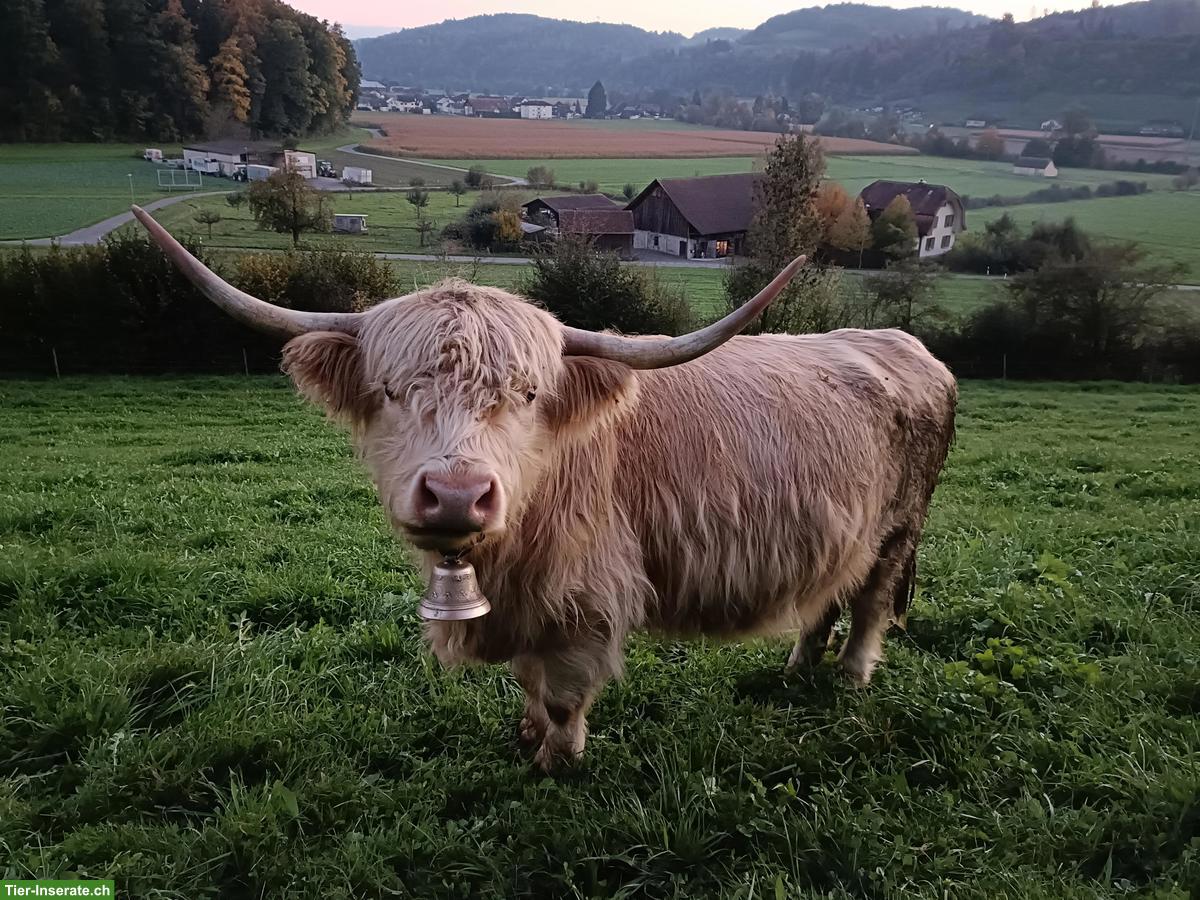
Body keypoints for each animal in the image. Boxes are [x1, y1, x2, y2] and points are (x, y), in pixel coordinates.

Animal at [132, 206, 957, 770]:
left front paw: (556, 760)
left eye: (528, 394)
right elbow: (529, 682)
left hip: (899, 530)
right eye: (392, 391)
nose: (456, 495)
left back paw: (851, 677)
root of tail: (908, 348)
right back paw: (798, 668)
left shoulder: (583, 596)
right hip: (842, 532)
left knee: (873, 600)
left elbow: (562, 690)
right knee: (827, 595)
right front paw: (527, 733)